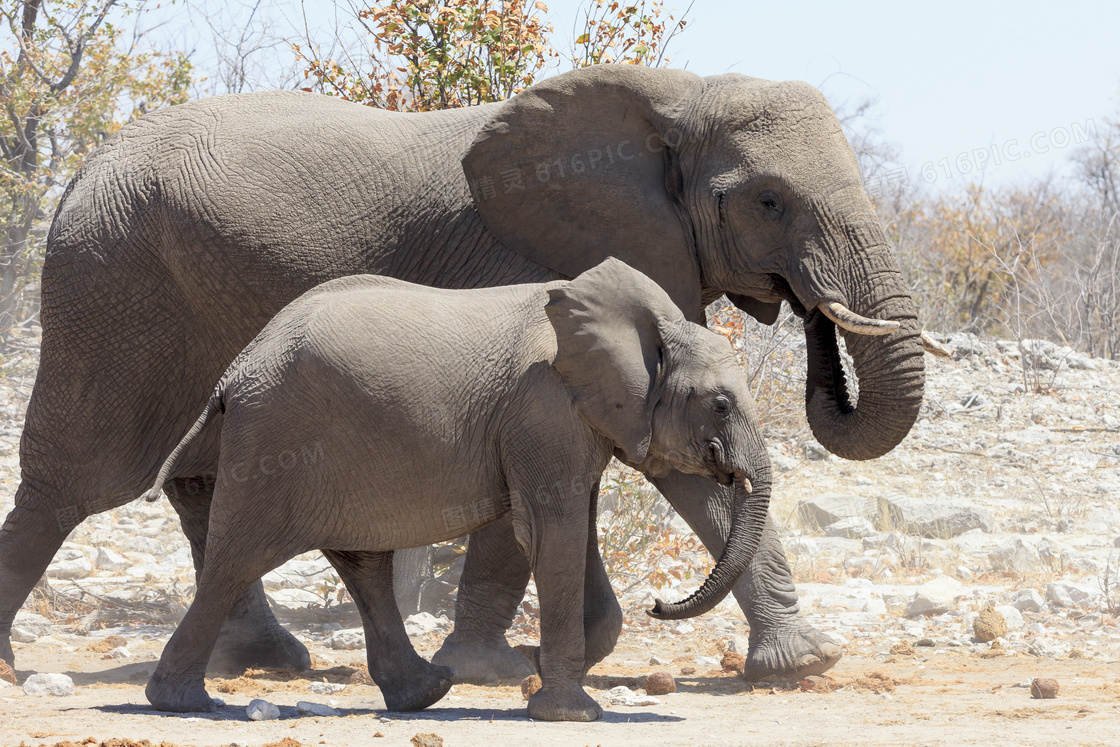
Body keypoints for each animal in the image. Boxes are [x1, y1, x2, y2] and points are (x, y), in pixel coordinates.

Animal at [140, 257, 770, 716]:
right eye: (720, 404)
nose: (659, 604)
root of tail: (237, 366)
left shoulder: (572, 422)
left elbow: (574, 527)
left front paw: (547, 670)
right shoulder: (543, 409)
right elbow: (552, 531)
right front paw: (571, 712)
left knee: (361, 563)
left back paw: (425, 693)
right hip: (273, 440)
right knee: (237, 559)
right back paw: (181, 702)